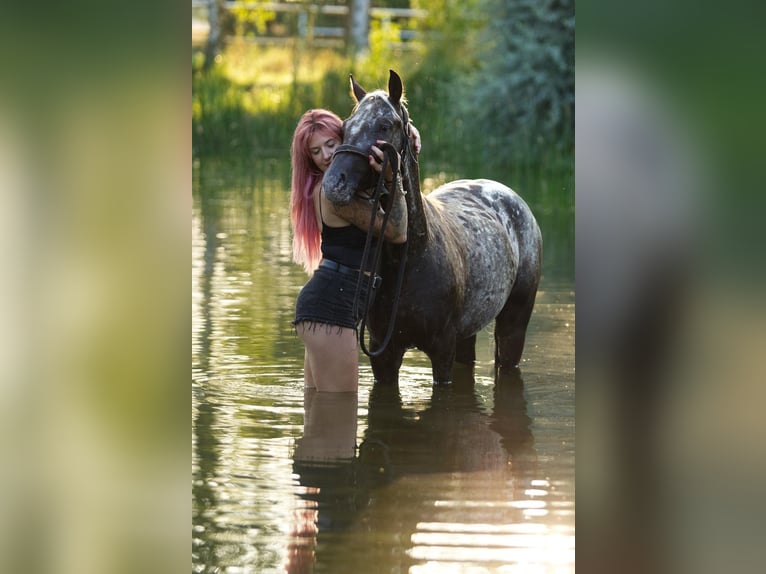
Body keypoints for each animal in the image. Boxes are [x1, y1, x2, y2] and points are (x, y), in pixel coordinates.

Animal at [322, 70, 542, 385]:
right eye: (345, 126)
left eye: (384, 125)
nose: (333, 184)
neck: (411, 255)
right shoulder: (384, 354)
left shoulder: (442, 351)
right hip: (468, 334)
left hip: (513, 327)